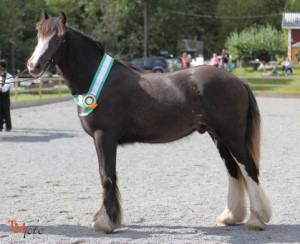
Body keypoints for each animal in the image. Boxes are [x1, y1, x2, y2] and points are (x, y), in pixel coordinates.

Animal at [27, 10, 272, 234]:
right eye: (39, 34)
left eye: (59, 38)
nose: (33, 65)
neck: (98, 80)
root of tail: (238, 81)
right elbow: (108, 176)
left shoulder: (104, 136)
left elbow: (107, 177)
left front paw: (105, 222)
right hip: (218, 136)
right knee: (233, 171)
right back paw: (230, 216)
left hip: (232, 136)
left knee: (249, 169)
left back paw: (256, 220)